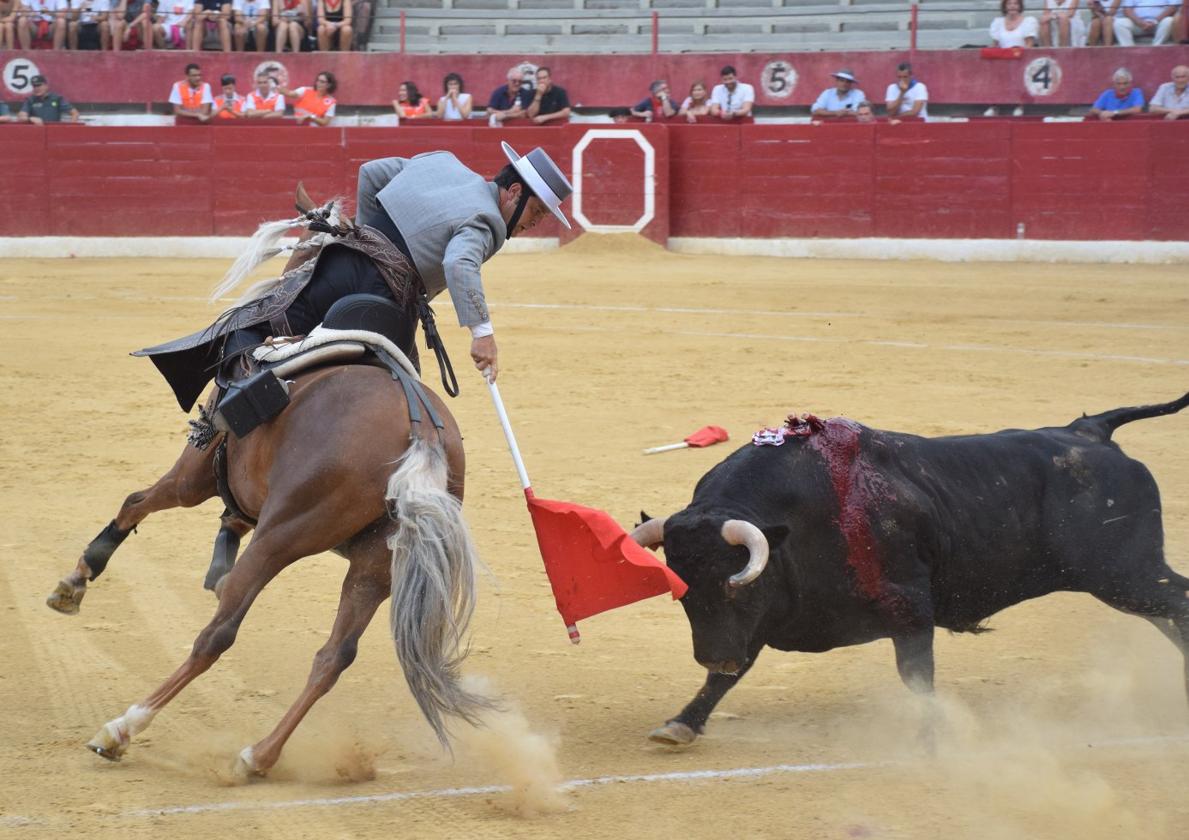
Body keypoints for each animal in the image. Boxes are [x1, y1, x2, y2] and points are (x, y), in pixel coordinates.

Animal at [43, 359, 485, 770]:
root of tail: (422, 434)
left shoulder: (195, 472)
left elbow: (136, 502)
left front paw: (76, 579)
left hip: (278, 534)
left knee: (217, 635)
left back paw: (123, 728)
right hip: (375, 566)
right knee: (334, 656)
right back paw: (259, 755)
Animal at [637, 390, 1189, 742]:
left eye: (736, 587)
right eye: (683, 594)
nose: (713, 656)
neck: (798, 517)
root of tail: (1090, 431)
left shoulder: (909, 604)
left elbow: (916, 676)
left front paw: (932, 732)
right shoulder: (762, 620)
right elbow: (732, 676)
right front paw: (682, 724)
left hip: (1125, 573)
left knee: (1177, 603)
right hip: (1128, 578)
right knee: (1168, 613)